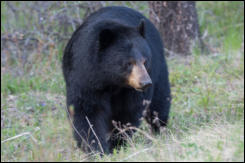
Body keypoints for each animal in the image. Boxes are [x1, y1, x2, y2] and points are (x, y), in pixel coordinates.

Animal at [62, 6, 171, 154]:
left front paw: (116, 143)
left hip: (159, 69)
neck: (112, 82)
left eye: (145, 61)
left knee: (159, 103)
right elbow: (86, 112)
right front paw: (95, 148)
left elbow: (128, 113)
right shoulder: (84, 76)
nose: (145, 83)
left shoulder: (131, 90)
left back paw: (159, 129)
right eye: (129, 63)